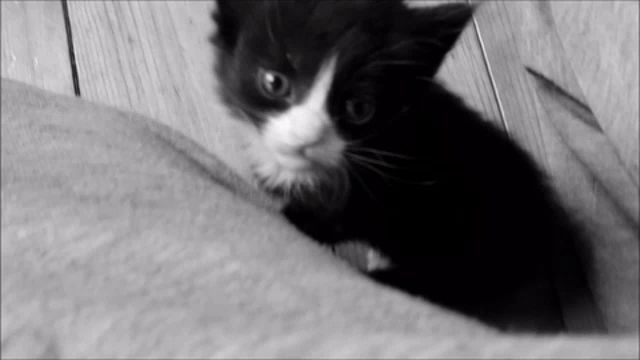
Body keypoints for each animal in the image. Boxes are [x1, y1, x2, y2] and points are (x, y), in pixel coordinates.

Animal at [211, 0, 592, 332]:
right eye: (273, 82)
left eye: (359, 108)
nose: (307, 138)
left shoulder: (369, 197)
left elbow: (332, 219)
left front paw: (295, 218)